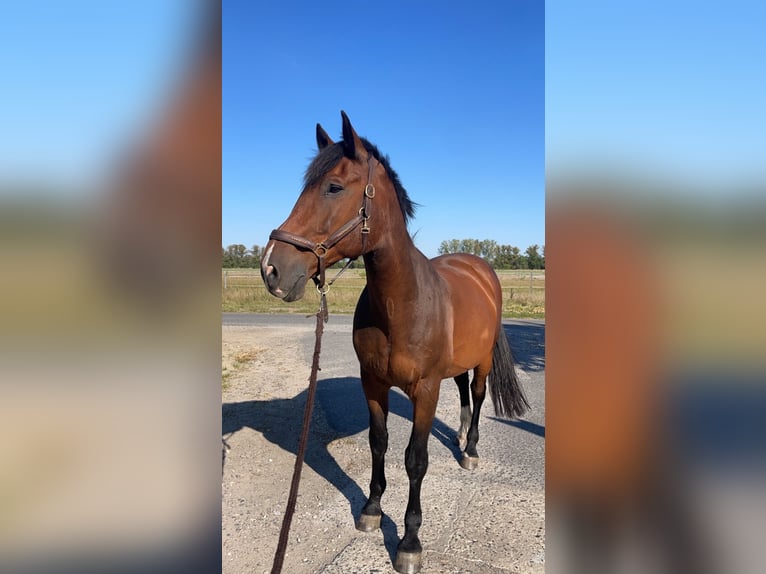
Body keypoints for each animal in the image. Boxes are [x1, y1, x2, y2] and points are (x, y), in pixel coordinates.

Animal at [262, 112, 528, 574]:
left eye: (333, 186)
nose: (271, 268)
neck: (401, 303)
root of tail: (481, 268)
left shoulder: (425, 391)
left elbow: (415, 460)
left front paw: (409, 542)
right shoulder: (373, 383)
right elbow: (378, 443)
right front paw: (371, 509)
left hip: (480, 364)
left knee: (477, 396)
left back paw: (470, 449)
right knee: (462, 393)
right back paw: (459, 435)